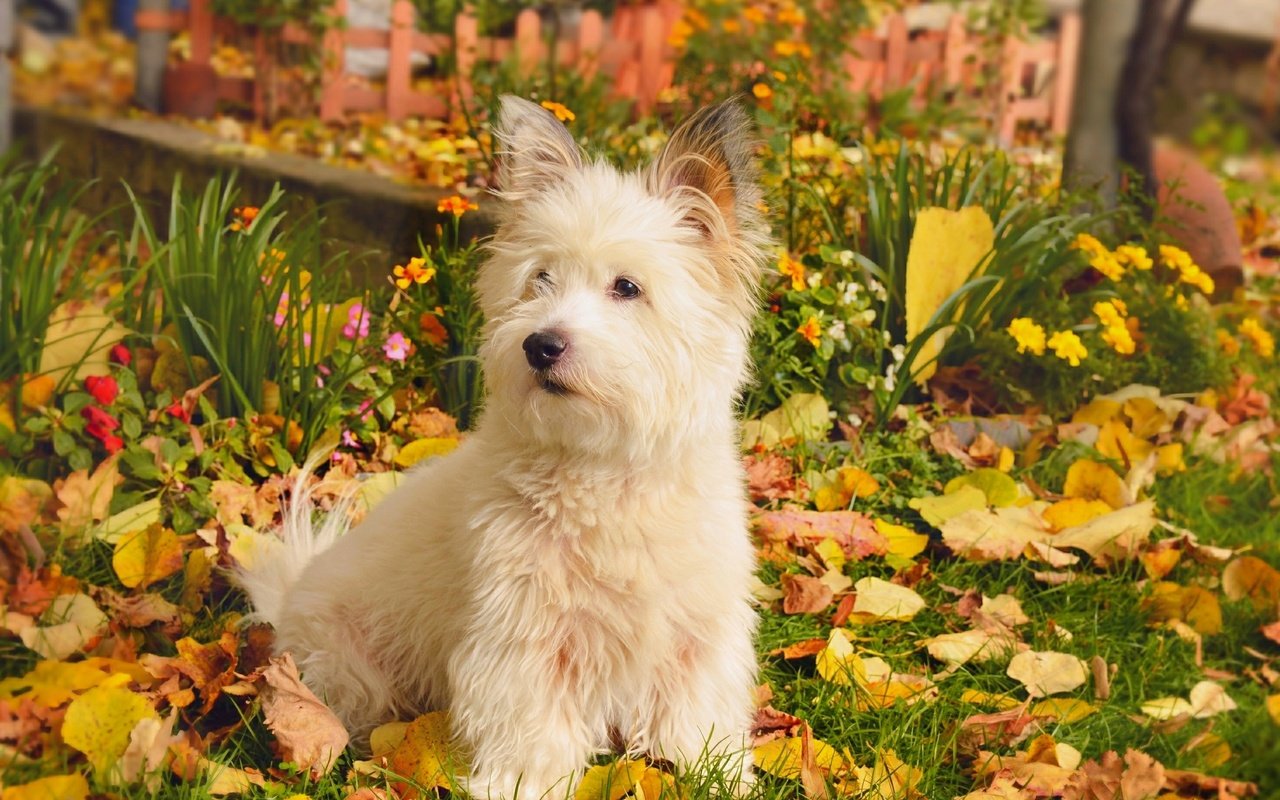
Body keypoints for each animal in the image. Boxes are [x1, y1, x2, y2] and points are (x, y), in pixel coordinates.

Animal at [239, 95, 768, 798]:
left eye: (627, 287)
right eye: (539, 278)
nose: (540, 345)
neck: (604, 468)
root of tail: (287, 600)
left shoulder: (696, 633)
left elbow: (695, 716)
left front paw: (720, 776)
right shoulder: (521, 641)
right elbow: (532, 731)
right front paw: (519, 786)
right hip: (350, 668)